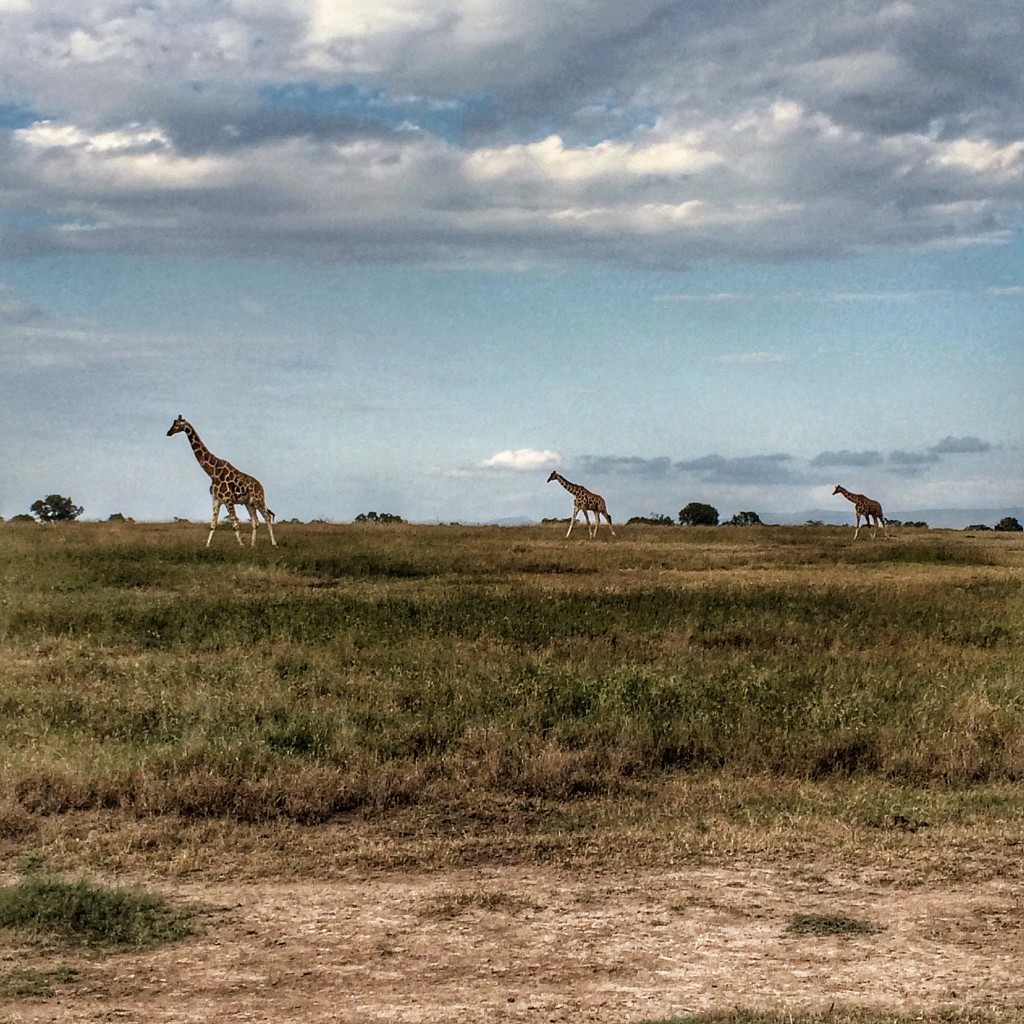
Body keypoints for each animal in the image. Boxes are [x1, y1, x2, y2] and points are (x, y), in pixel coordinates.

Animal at [168, 413, 278, 548]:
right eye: (173, 423)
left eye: (177, 424)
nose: (168, 432)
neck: (212, 473)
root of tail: (261, 487)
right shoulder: (216, 500)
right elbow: (213, 524)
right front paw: (207, 546)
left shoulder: (228, 500)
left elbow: (234, 523)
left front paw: (241, 545)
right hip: (249, 503)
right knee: (255, 521)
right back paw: (252, 545)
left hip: (258, 501)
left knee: (267, 517)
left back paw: (274, 543)